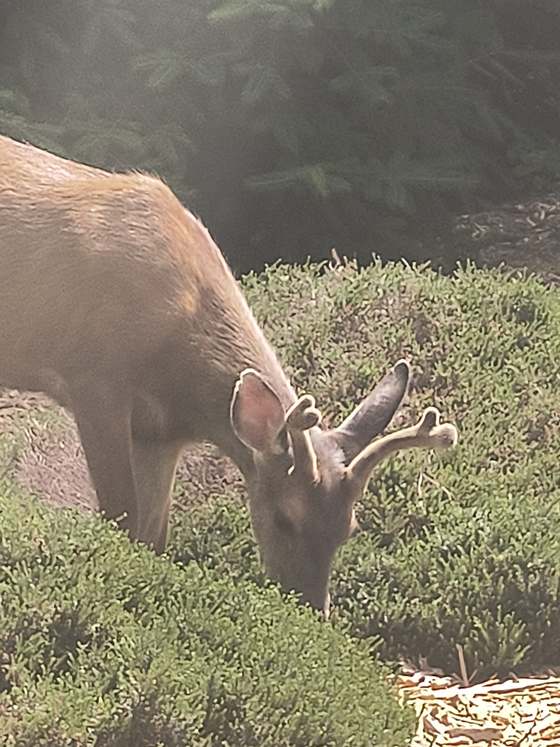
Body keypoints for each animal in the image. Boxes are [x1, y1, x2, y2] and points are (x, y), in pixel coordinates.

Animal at [0, 134, 458, 616]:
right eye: (284, 518)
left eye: (350, 528)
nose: (310, 611)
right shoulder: (95, 378)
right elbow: (120, 514)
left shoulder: (159, 432)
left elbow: (153, 535)